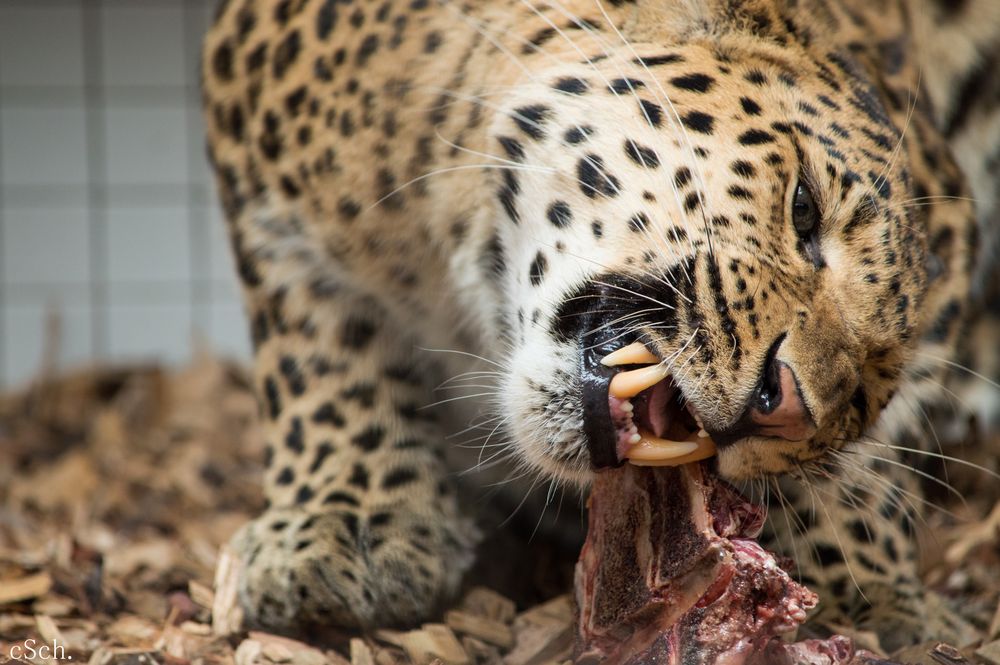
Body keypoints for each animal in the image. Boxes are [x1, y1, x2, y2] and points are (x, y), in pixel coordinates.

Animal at [201, 0, 1000, 652]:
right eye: (803, 207)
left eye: (865, 393)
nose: (783, 407)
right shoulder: (263, 179)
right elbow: (323, 348)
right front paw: (347, 524)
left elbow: (868, 468)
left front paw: (877, 591)